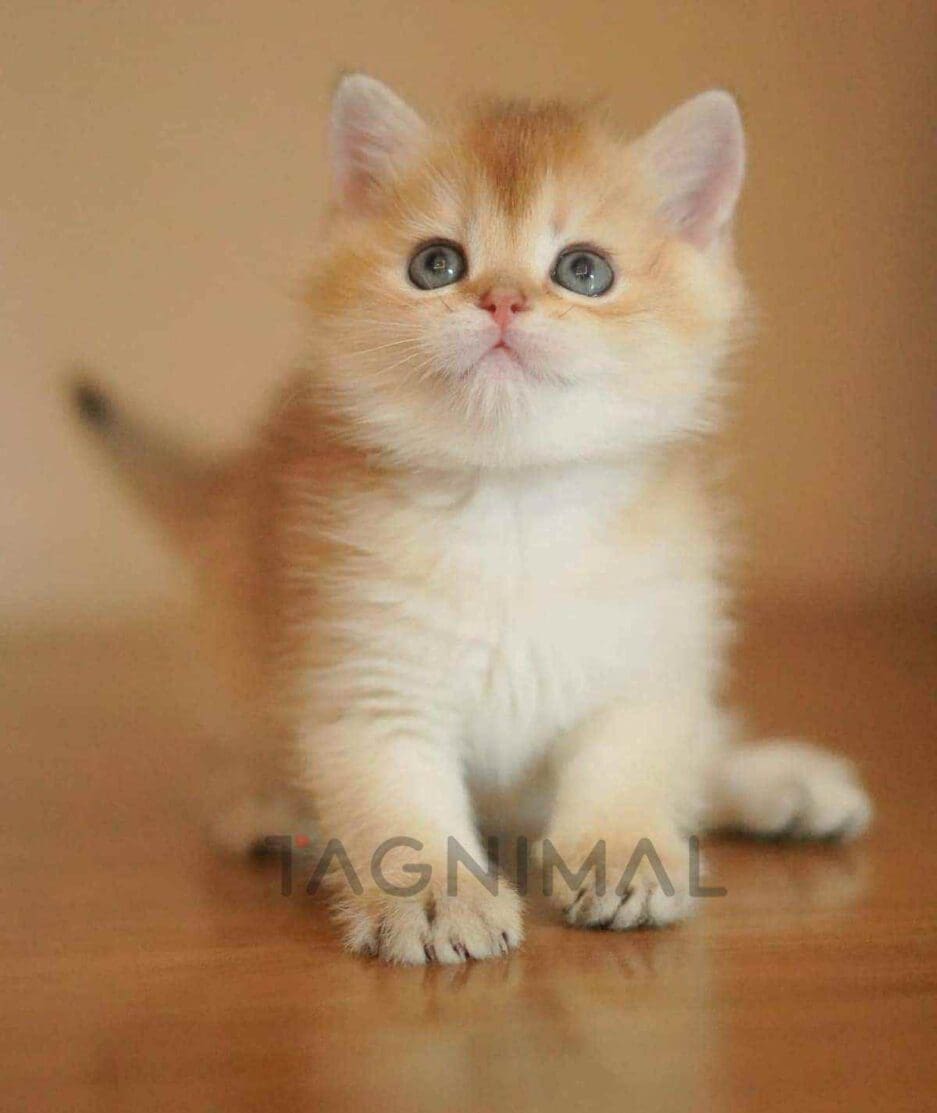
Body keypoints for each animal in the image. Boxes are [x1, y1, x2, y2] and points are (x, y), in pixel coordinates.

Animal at [73, 74, 872, 964]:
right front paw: (432, 895)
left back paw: (780, 781)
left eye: (583, 269)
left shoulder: (645, 655)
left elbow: (632, 762)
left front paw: (624, 851)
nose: (501, 299)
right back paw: (276, 811)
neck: (509, 505)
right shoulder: (369, 676)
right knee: (229, 771)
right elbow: (397, 802)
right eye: (436, 264)